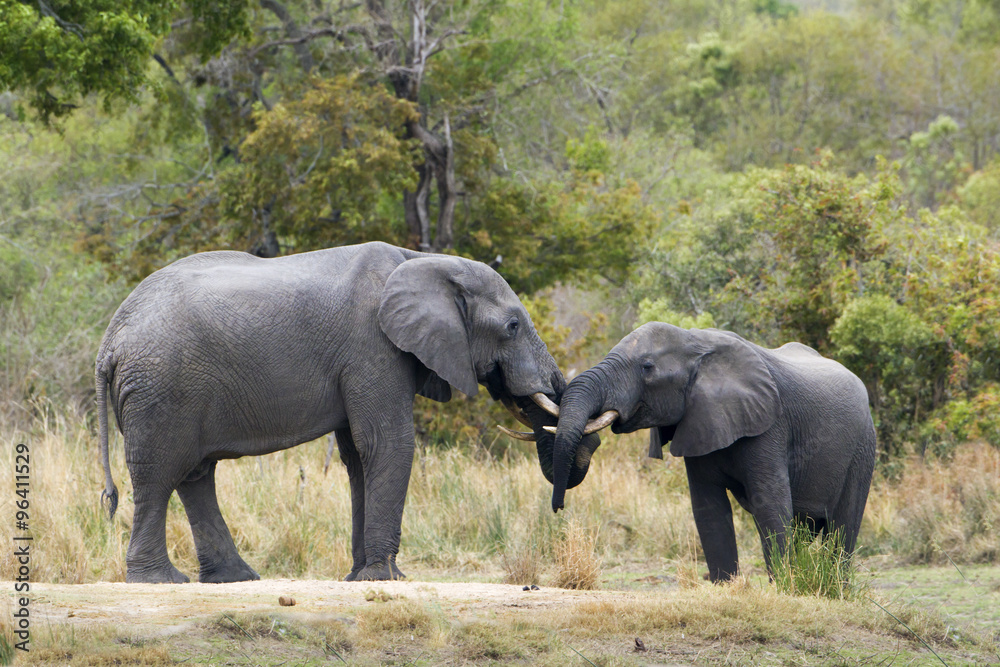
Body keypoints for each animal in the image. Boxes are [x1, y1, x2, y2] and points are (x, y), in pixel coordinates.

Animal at [96, 241, 573, 584]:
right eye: (513, 326)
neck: (423, 260)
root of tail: (110, 340)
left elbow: (358, 456)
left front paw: (359, 576)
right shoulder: (373, 347)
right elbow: (387, 443)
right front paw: (384, 579)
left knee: (195, 474)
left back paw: (236, 580)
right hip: (160, 388)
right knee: (160, 474)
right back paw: (161, 581)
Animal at [546, 322, 876, 582]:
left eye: (647, 367)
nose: (558, 508)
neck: (697, 344)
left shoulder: (770, 426)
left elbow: (769, 503)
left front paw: (785, 585)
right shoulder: (698, 422)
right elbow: (708, 508)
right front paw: (727, 588)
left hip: (863, 447)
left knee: (843, 525)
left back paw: (836, 584)